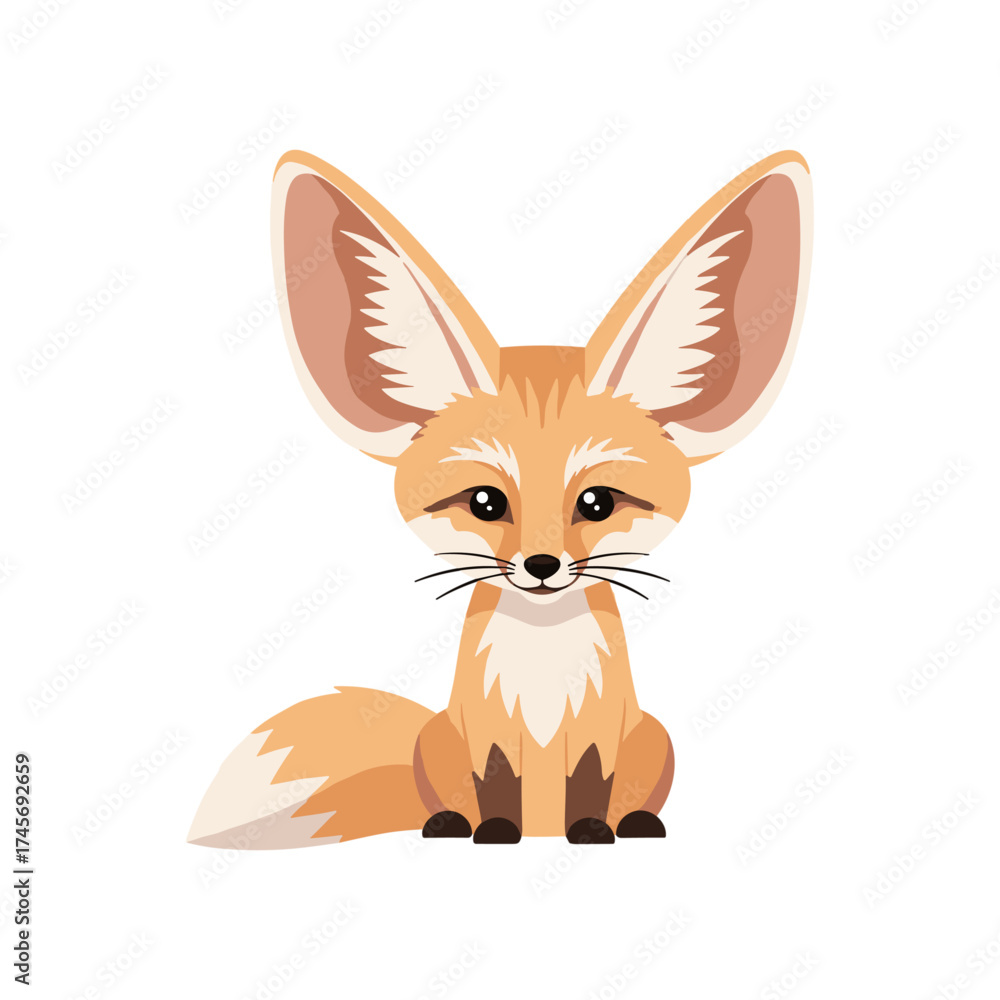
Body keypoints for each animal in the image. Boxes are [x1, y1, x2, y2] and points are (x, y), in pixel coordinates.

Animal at [188, 148, 812, 848]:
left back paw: (636, 822)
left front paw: (591, 828)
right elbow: (493, 784)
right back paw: (449, 823)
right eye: (486, 502)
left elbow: (591, 783)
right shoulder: (484, 731)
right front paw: (493, 829)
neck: (541, 669)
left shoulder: (600, 732)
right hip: (438, 740)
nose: (541, 566)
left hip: (655, 737)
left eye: (598, 503)